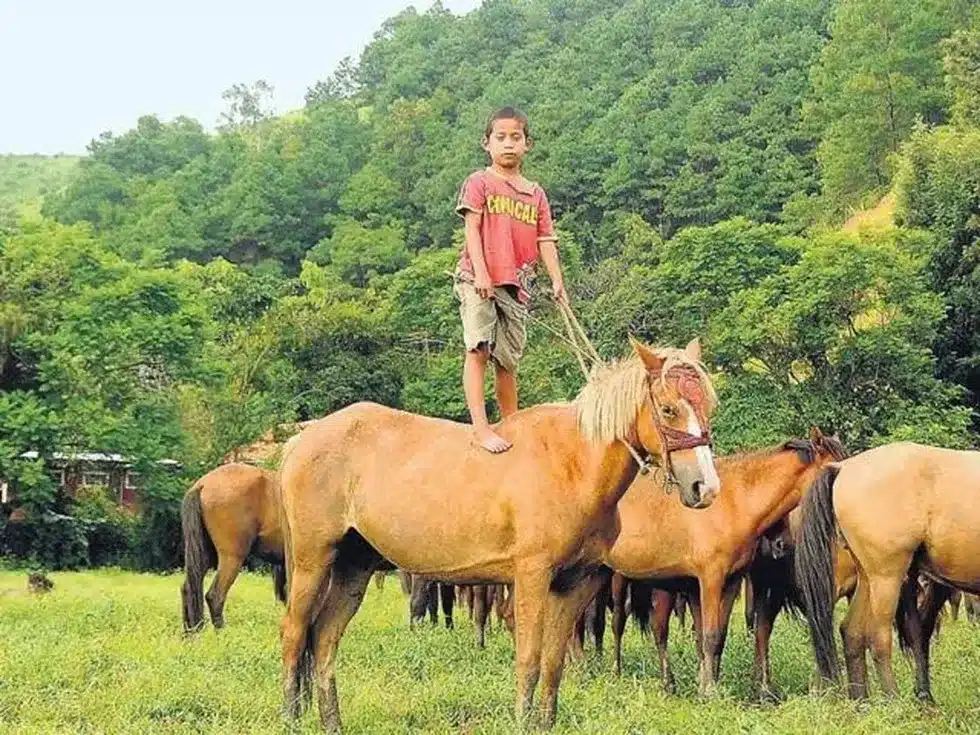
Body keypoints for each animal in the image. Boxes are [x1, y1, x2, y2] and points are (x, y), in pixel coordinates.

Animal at [277, 338, 720, 731]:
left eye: (707, 406)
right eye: (668, 408)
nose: (706, 488)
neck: (572, 463)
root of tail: (302, 438)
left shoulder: (576, 583)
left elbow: (554, 663)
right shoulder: (531, 576)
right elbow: (529, 660)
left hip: (355, 566)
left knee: (324, 640)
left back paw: (331, 723)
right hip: (313, 561)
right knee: (295, 634)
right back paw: (291, 718)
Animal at [604, 429, 846, 695]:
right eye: (836, 470)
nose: (780, 545)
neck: (734, 501)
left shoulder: (732, 581)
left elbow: (719, 635)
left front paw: (709, 683)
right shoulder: (710, 579)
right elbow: (709, 636)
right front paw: (710, 691)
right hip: (617, 580)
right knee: (617, 622)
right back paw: (614, 671)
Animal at [795, 442, 980, 703]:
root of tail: (843, 467)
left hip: (868, 578)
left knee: (851, 632)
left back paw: (861, 700)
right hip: (886, 577)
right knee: (878, 637)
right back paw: (893, 699)